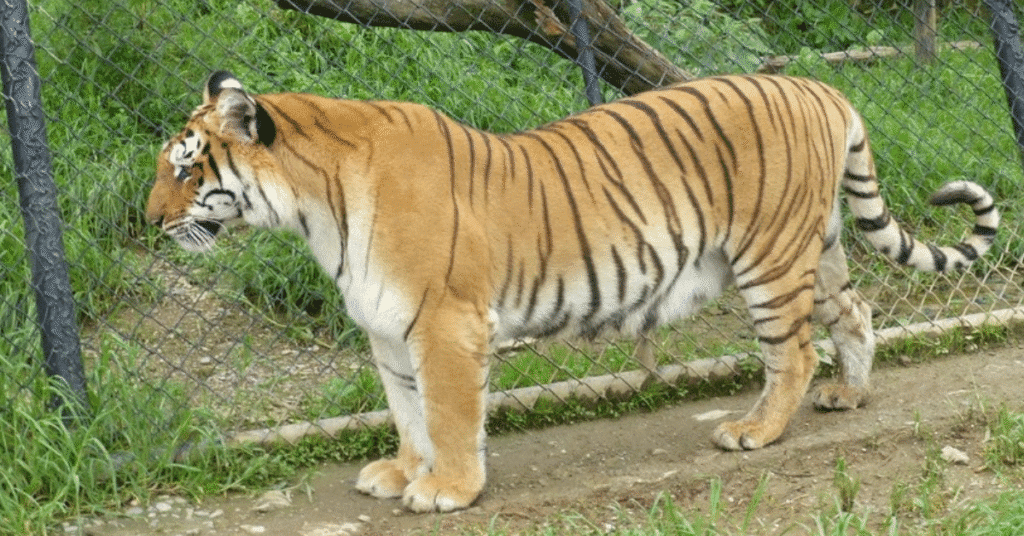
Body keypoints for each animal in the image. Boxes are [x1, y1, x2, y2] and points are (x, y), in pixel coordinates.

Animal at [146, 71, 999, 512]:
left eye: (186, 170)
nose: (149, 221)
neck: (314, 209)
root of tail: (821, 85)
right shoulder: (387, 330)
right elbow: (406, 412)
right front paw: (402, 472)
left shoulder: (446, 323)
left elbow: (449, 414)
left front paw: (447, 489)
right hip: (813, 253)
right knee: (856, 311)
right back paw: (850, 397)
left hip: (769, 258)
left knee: (793, 352)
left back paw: (755, 430)